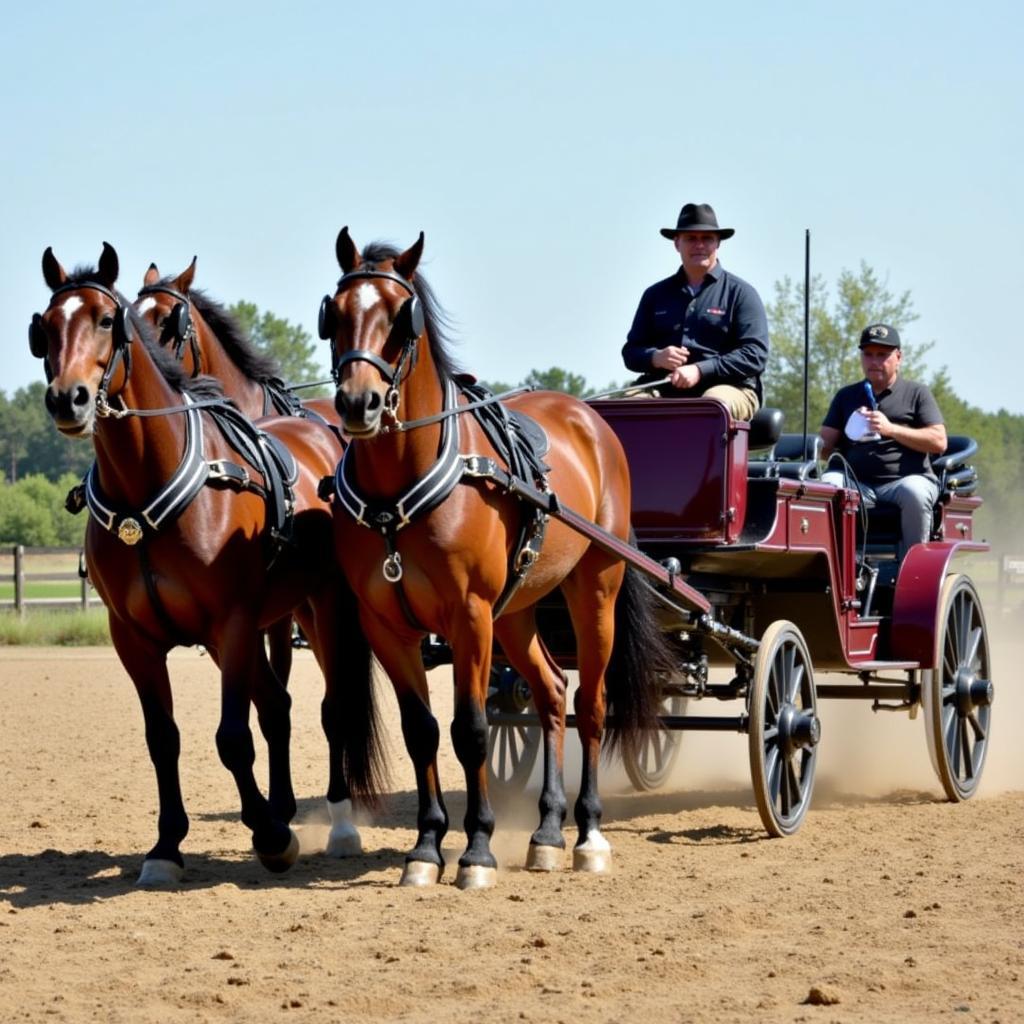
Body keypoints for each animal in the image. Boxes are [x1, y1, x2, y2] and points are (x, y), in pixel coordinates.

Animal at [30, 243, 387, 884]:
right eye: (43, 327)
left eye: (107, 319)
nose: (67, 398)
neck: (146, 488)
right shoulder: (135, 638)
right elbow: (163, 739)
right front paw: (167, 846)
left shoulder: (236, 622)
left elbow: (232, 737)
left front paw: (272, 836)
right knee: (277, 705)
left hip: (323, 609)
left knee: (332, 707)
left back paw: (340, 824)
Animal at [319, 230, 667, 888]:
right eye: (336, 313)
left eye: (401, 318)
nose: (358, 403)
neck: (399, 492)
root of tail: (592, 419)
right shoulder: (386, 626)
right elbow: (422, 732)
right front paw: (426, 848)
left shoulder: (469, 616)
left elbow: (473, 730)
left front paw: (476, 849)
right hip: (517, 610)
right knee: (553, 692)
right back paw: (547, 832)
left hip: (593, 591)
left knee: (590, 706)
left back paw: (588, 835)